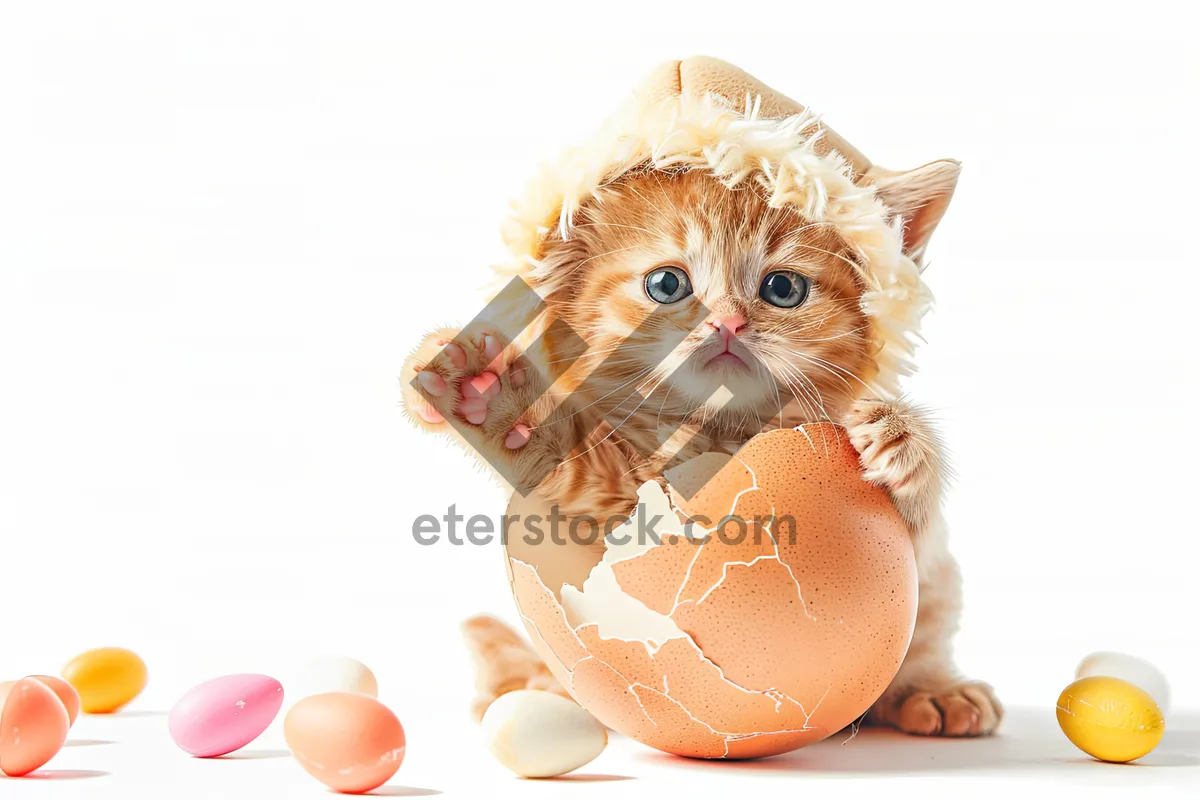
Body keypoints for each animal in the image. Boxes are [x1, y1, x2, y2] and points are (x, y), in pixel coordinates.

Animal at [403, 167, 1003, 738]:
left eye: (783, 288)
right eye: (667, 284)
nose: (728, 323)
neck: (721, 432)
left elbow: (917, 525)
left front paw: (904, 439)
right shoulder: (622, 511)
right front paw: (495, 396)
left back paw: (934, 690)